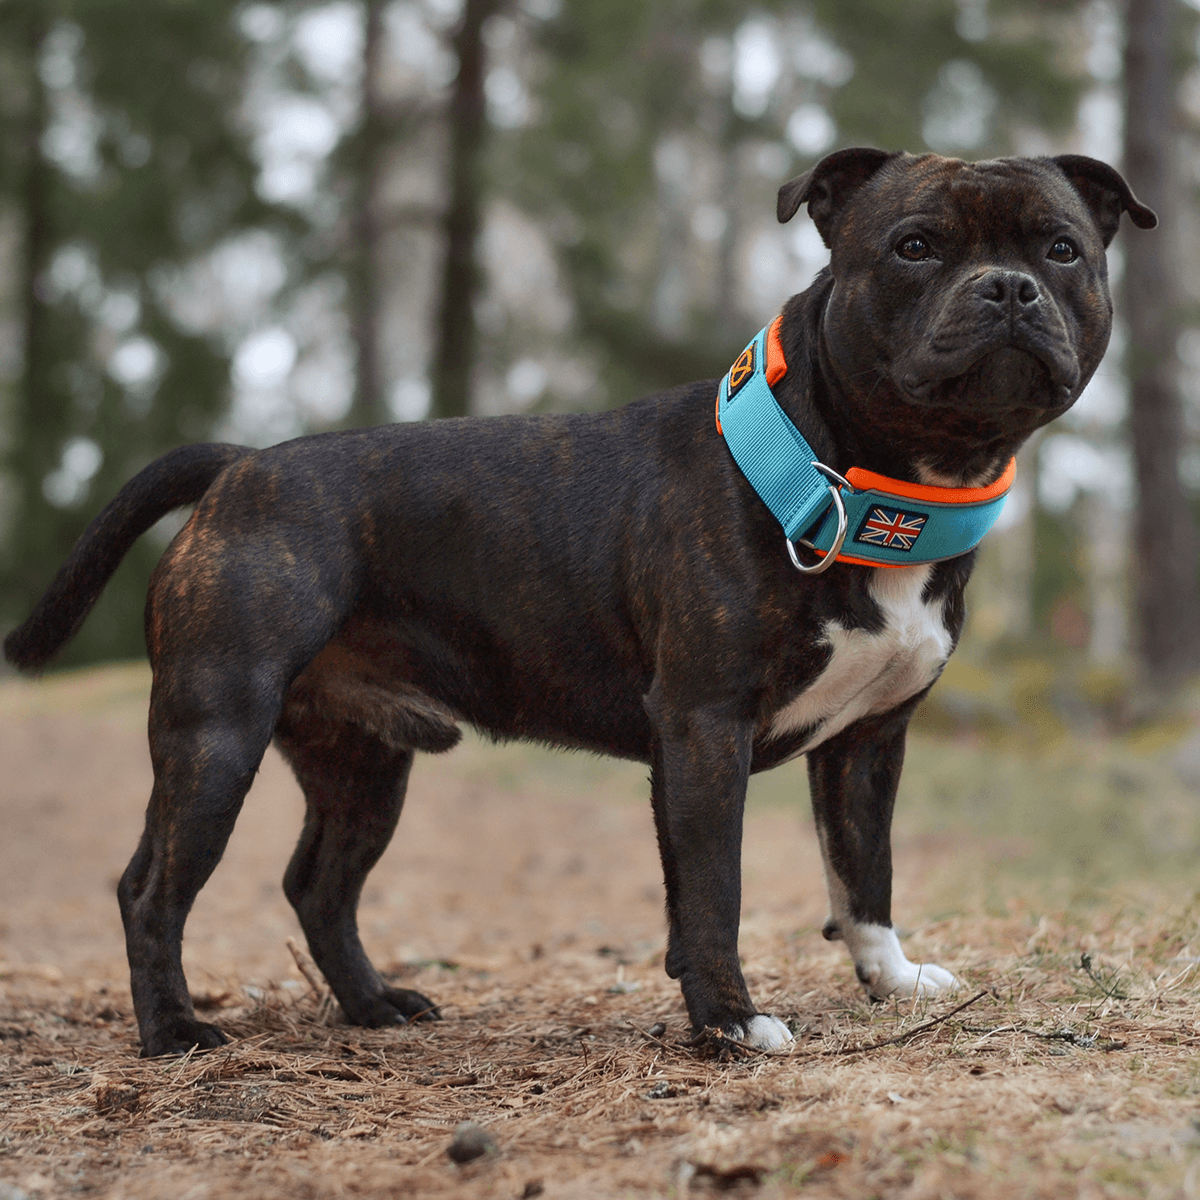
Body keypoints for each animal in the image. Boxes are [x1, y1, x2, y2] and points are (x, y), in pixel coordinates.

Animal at [4, 145, 1156, 1056]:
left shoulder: (870, 740)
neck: (868, 478)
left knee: (319, 885)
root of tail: (239, 464)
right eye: (915, 246)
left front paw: (888, 978)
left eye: (1062, 250)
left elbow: (861, 868)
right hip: (215, 733)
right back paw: (174, 1033)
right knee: (152, 886)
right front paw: (730, 1023)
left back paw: (373, 1007)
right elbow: (715, 889)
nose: (1007, 289)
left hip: (361, 763)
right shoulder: (702, 729)